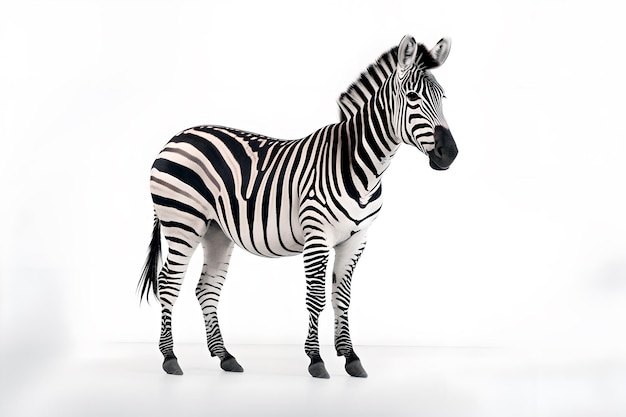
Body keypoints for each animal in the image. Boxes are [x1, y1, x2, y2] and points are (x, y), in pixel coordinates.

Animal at [139, 35, 456, 376]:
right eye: (412, 97)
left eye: (443, 98)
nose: (450, 154)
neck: (361, 164)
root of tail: (176, 137)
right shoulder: (317, 235)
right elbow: (316, 297)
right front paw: (316, 359)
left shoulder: (356, 239)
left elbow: (342, 297)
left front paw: (351, 357)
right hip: (183, 221)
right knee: (168, 283)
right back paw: (170, 358)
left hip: (216, 231)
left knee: (207, 289)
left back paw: (225, 356)